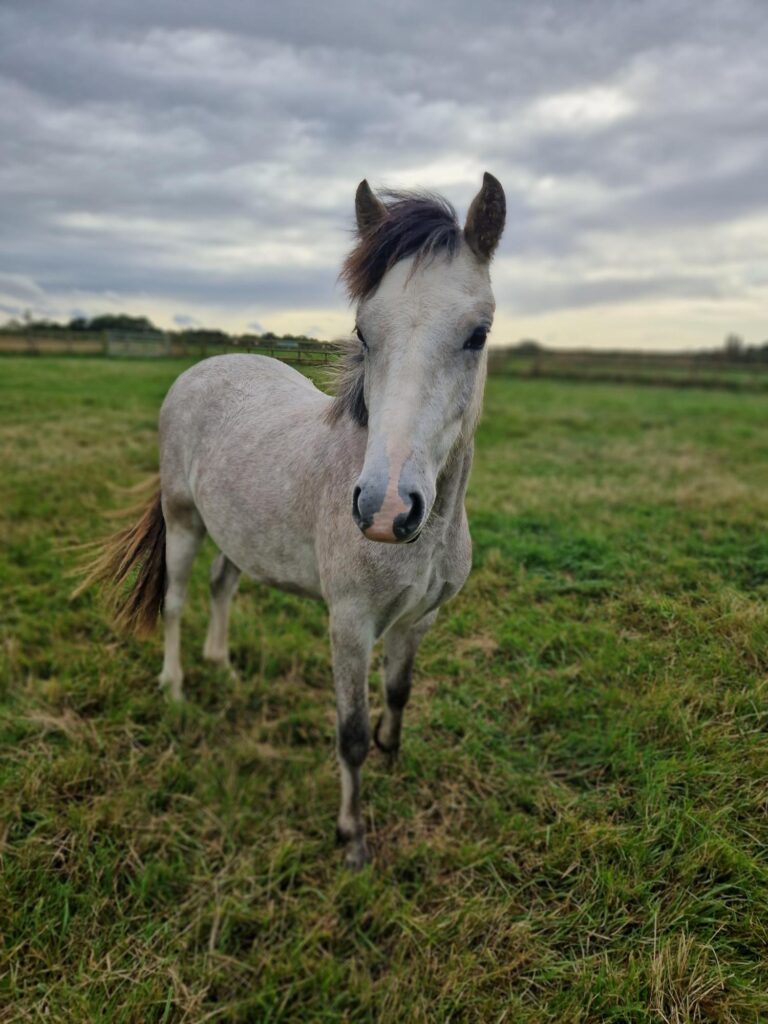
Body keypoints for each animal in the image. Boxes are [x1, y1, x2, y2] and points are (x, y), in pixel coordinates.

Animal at [79, 172, 506, 868]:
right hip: (184, 522)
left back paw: (222, 666)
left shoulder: (421, 619)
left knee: (222, 586)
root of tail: (203, 367)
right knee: (174, 601)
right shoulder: (351, 626)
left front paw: (394, 758)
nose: (387, 509)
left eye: (478, 334)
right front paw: (352, 837)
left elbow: (399, 694)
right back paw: (175, 686)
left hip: (237, 534)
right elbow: (350, 733)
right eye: (364, 332)